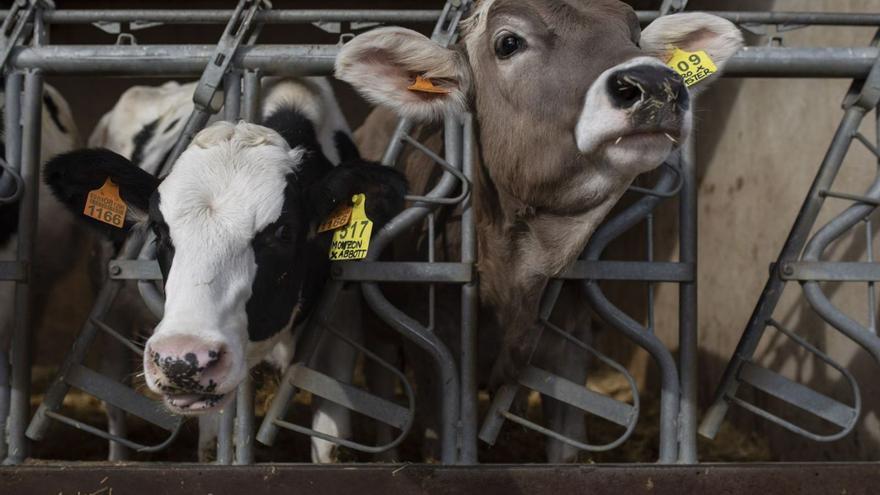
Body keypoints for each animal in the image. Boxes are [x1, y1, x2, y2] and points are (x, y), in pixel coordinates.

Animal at [43, 76, 406, 462]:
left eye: (284, 231)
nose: (180, 359)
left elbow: (329, 445)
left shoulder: (339, 329)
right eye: (158, 229)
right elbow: (212, 445)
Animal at [336, 1, 744, 464]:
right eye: (508, 43)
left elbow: (563, 452)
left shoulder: (569, 348)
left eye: (635, 38)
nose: (657, 84)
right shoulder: (438, 357)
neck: (517, 277)